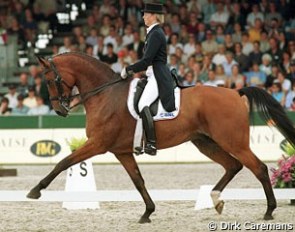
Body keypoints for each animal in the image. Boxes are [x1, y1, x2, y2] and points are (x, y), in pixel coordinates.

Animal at [27, 52, 295, 223]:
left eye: (50, 80)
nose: (59, 110)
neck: (105, 95)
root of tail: (235, 92)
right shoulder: (121, 151)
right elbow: (138, 180)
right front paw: (147, 212)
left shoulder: (98, 144)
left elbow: (63, 162)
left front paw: (35, 191)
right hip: (204, 142)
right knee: (233, 166)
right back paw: (216, 200)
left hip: (233, 141)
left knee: (258, 168)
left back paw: (269, 211)